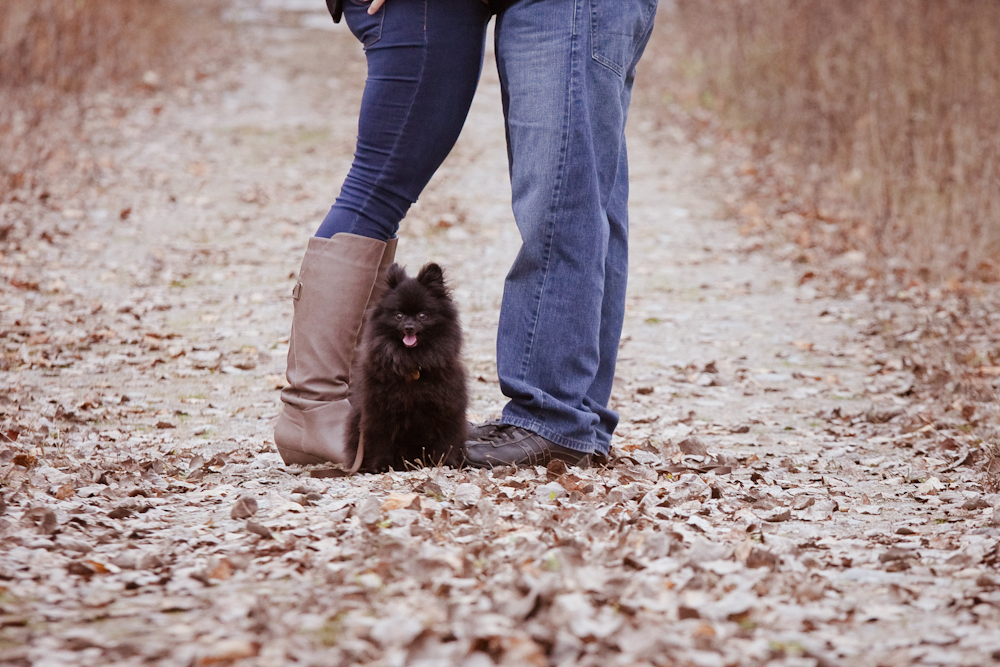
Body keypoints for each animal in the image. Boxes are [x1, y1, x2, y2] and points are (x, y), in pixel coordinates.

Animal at [348, 264, 468, 472]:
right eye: (399, 315)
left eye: (422, 315)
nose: (409, 327)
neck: (412, 364)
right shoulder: (379, 410)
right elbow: (381, 440)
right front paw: (381, 465)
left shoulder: (447, 408)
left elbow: (446, 441)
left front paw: (446, 463)